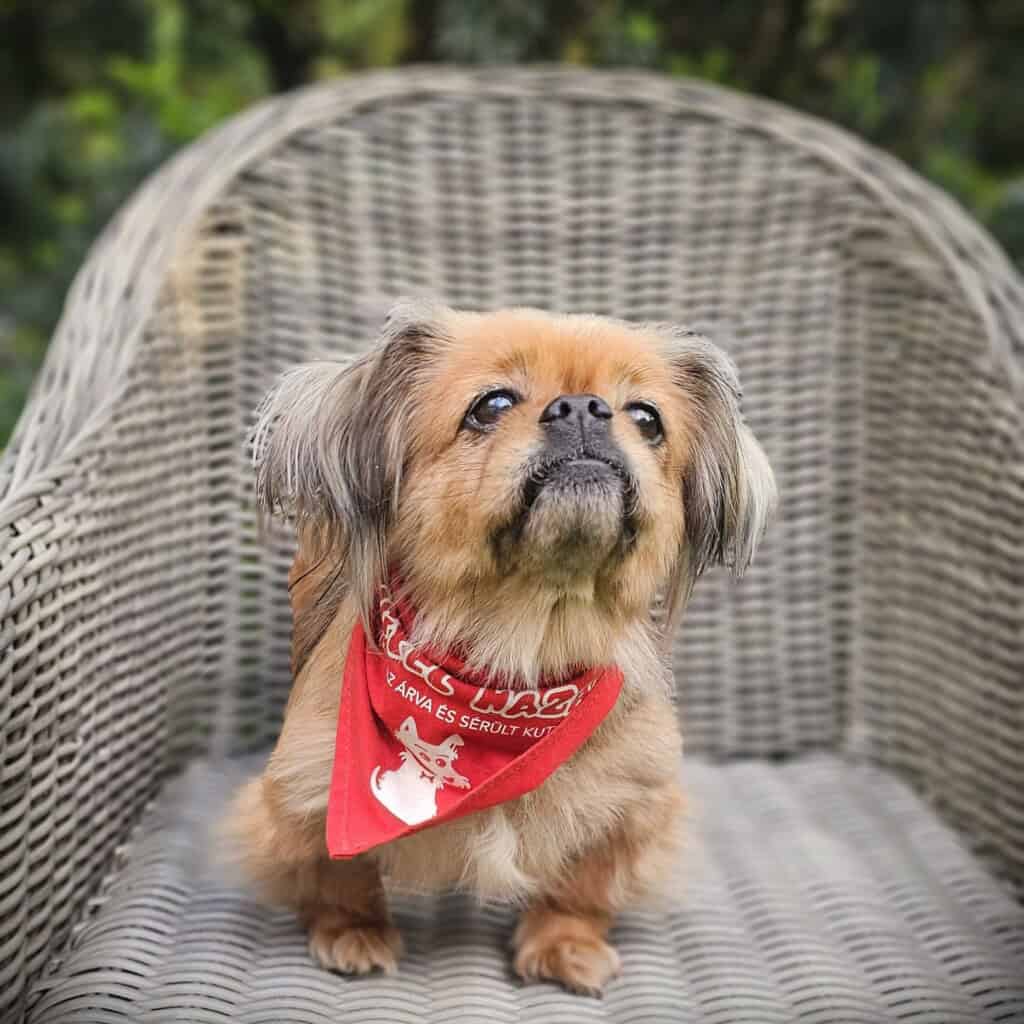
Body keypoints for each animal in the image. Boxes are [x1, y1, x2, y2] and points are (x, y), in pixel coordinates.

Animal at [225, 301, 775, 995]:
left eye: (647, 418)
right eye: (491, 404)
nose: (583, 406)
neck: (517, 652)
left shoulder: (635, 801)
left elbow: (583, 886)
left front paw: (566, 944)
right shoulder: (301, 789)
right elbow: (338, 871)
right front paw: (353, 931)